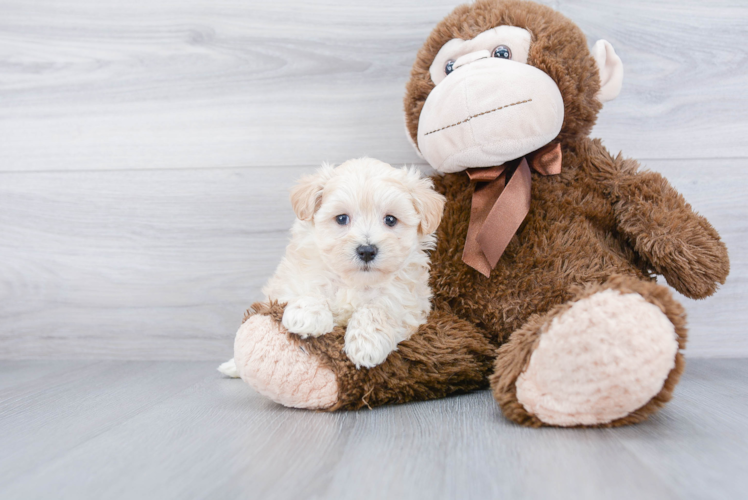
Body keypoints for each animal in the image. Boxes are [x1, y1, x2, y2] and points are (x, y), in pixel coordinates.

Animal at [254, 158, 444, 370]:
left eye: (390, 220)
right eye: (342, 218)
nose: (367, 251)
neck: (353, 281)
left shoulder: (408, 304)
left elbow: (378, 308)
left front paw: (368, 344)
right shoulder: (289, 281)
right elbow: (310, 286)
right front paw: (307, 315)